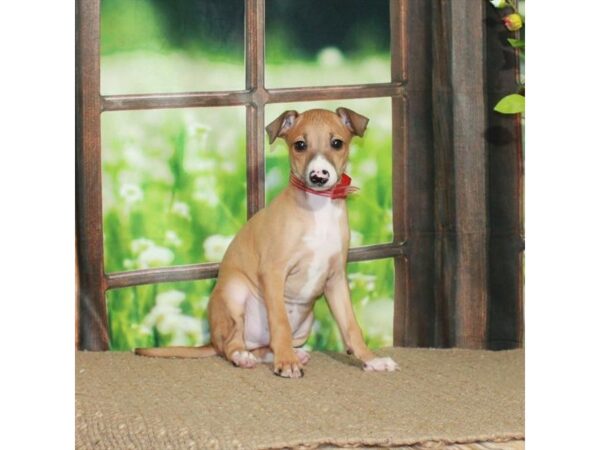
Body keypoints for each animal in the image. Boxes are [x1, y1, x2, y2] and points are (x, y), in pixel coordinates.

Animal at [136, 107, 398, 378]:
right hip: (235, 292)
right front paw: (286, 363)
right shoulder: (273, 272)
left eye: (337, 143)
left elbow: (351, 326)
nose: (318, 176)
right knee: (231, 344)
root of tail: (213, 340)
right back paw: (245, 357)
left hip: (306, 321)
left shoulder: (336, 277)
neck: (318, 208)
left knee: (263, 346)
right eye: (300, 145)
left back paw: (289, 353)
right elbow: (279, 322)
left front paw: (371, 359)